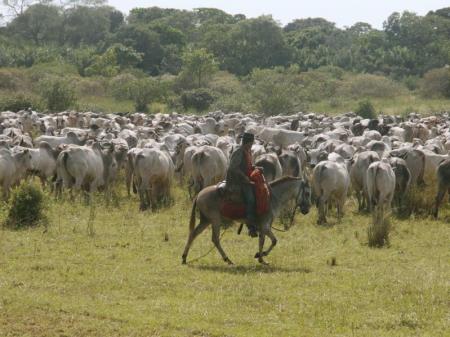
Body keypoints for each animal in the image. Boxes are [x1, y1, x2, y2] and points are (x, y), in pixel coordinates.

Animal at [181, 175, 312, 264]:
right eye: (307, 193)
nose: (307, 210)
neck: (271, 197)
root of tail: (199, 194)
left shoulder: (264, 227)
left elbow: (269, 241)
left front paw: (260, 255)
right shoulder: (265, 226)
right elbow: (269, 241)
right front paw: (261, 257)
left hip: (206, 221)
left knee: (193, 234)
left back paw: (184, 257)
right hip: (215, 220)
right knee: (215, 239)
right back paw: (227, 259)